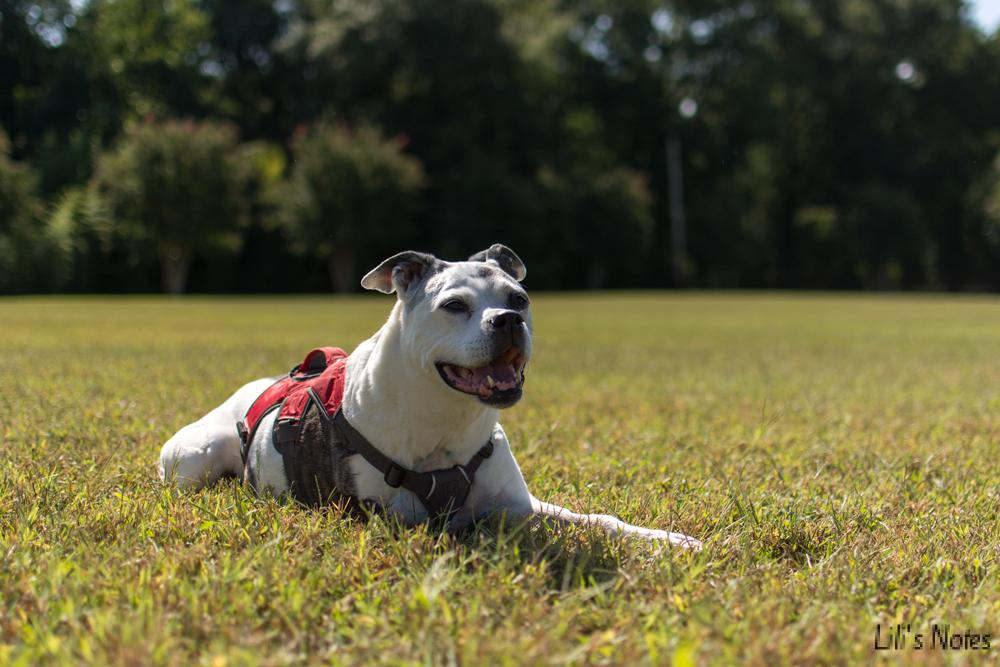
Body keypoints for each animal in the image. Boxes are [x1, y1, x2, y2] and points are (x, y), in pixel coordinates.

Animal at [158, 245, 704, 548]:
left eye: (520, 299)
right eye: (454, 305)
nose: (509, 321)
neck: (449, 416)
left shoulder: (520, 504)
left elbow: (596, 519)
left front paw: (667, 540)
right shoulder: (391, 518)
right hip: (197, 458)